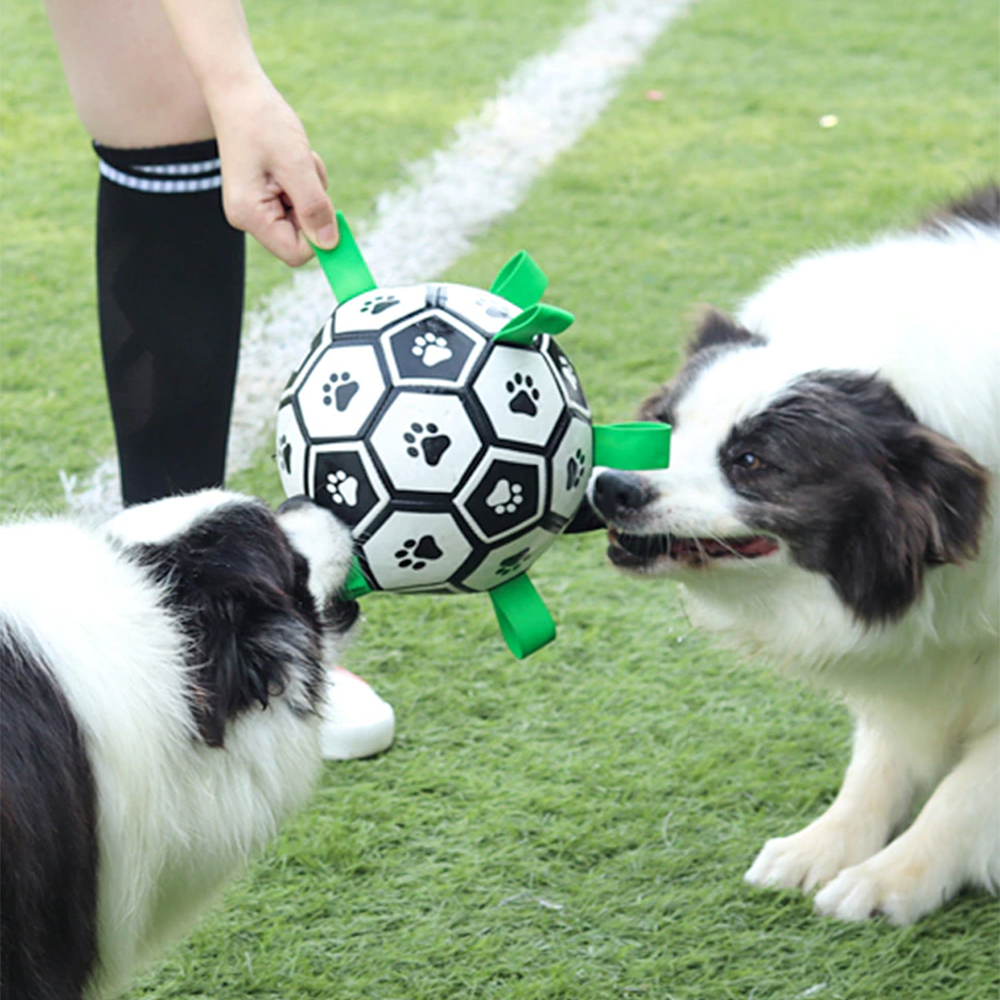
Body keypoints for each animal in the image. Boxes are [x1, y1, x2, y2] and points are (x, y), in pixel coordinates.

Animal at [588, 188, 996, 920]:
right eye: (663, 426)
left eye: (751, 461)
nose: (612, 486)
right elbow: (883, 750)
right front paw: (825, 845)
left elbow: (971, 789)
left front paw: (892, 878)